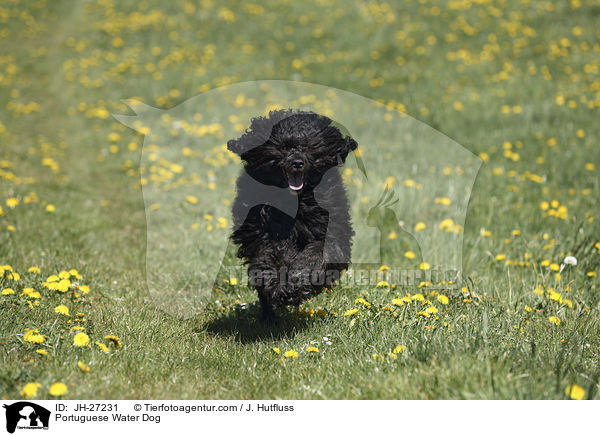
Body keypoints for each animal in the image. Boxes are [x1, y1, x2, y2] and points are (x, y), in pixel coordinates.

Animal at [225, 109, 356, 320]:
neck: (295, 201)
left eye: (308, 148)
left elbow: (314, 257)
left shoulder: (329, 233)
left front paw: (294, 286)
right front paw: (277, 284)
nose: (297, 163)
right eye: (284, 148)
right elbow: (270, 255)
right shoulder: (262, 232)